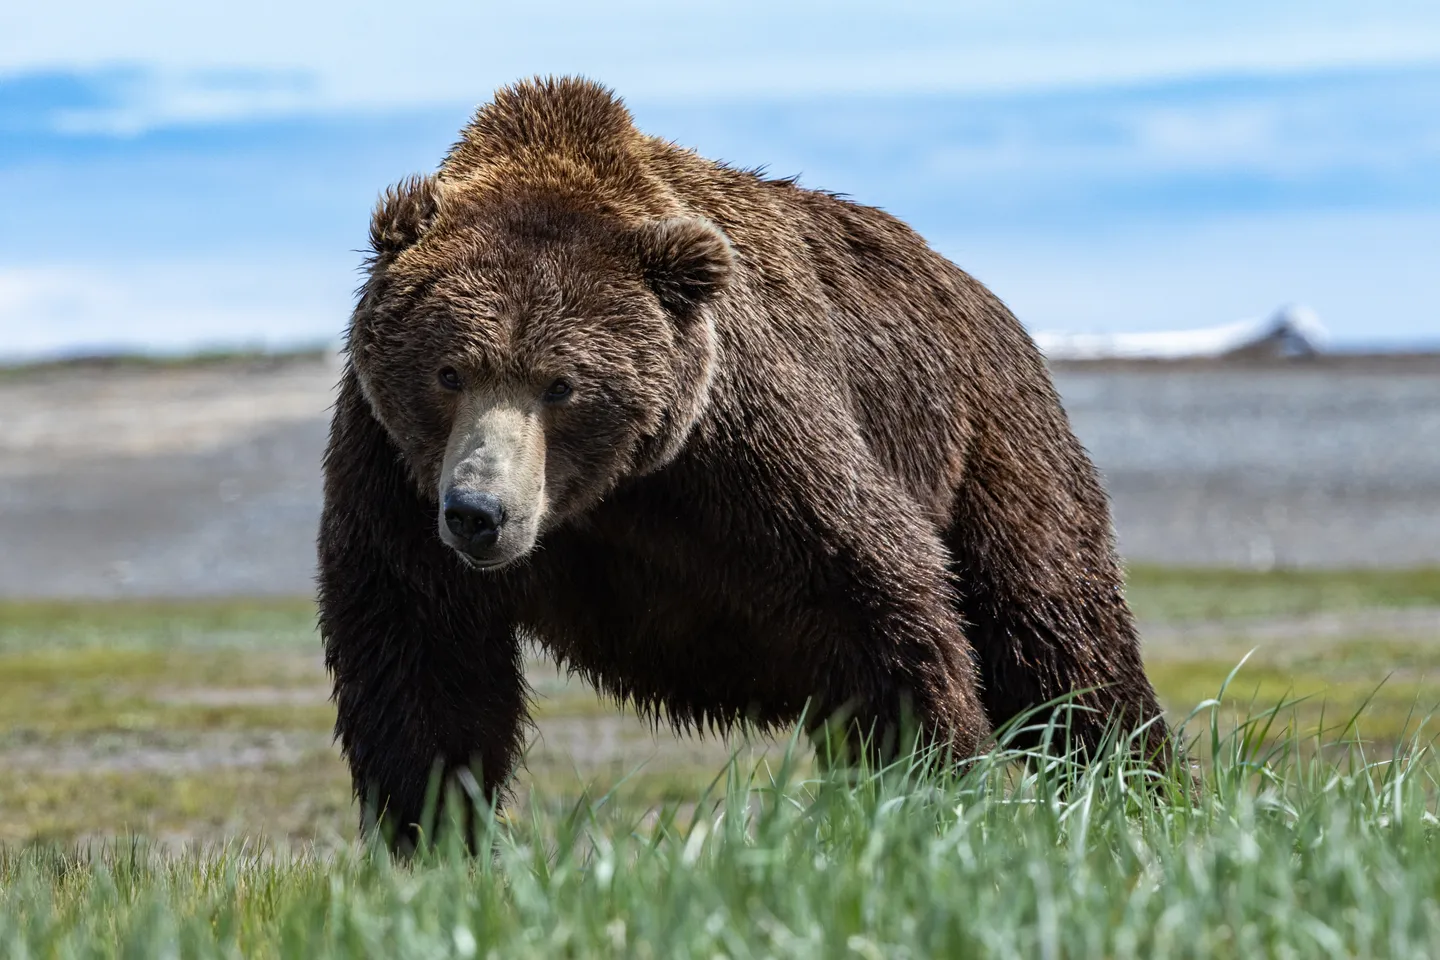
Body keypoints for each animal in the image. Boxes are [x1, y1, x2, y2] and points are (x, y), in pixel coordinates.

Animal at [318, 76, 1171, 843]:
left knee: (1057, 637)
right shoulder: (394, 473)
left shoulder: (748, 447)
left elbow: (883, 598)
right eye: (449, 371)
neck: (615, 489)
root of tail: (990, 303)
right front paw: (434, 835)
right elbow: (422, 665)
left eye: (561, 383)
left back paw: (1145, 792)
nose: (479, 513)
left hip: (993, 444)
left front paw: (944, 790)